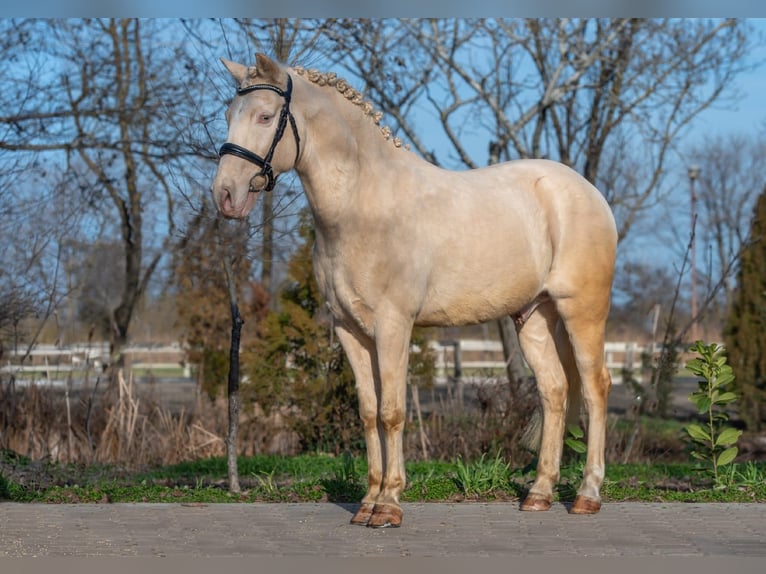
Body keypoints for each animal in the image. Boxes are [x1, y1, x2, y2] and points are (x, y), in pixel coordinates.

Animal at [213, 55, 620, 532]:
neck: (363, 207)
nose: (225, 195)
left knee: (594, 388)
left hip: (582, 312)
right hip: (533, 317)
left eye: (264, 116)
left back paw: (588, 494)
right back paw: (539, 494)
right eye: (229, 115)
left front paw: (389, 504)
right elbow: (369, 413)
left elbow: (392, 411)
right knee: (554, 391)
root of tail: (588, 192)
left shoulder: (394, 324)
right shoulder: (350, 330)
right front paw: (368, 502)